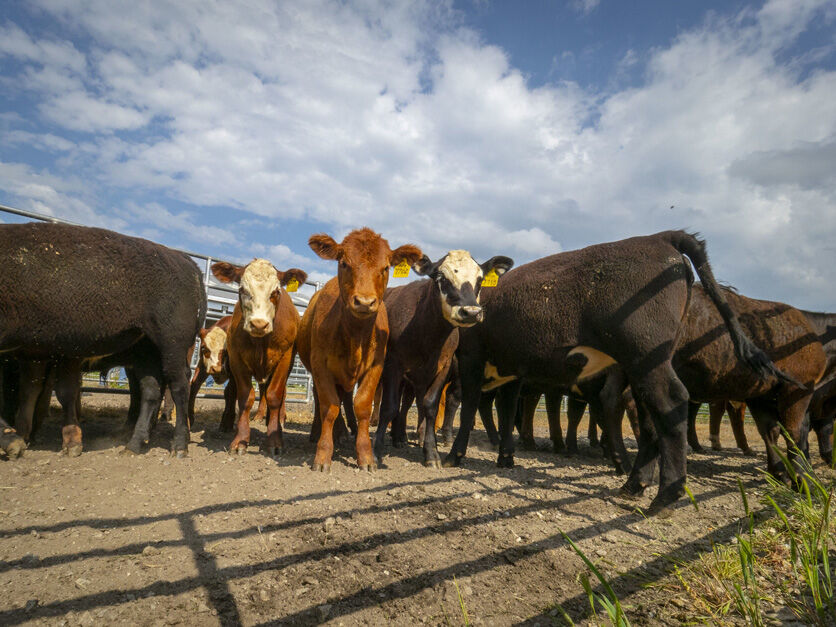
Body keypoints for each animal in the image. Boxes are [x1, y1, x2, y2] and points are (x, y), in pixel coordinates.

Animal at [0, 222, 205, 457]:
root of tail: (186, 261)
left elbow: (56, 392)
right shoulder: (48, 354)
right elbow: (42, 391)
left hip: (172, 345)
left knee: (179, 386)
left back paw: (179, 445)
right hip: (146, 350)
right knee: (150, 391)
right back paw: (134, 444)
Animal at [211, 259, 306, 457]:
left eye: (276, 292)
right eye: (242, 289)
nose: (259, 324)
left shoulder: (285, 358)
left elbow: (275, 396)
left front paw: (274, 440)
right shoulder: (237, 360)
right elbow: (245, 398)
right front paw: (240, 440)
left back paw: (277, 420)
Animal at [297, 227, 422, 471]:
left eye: (385, 267)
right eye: (344, 263)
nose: (364, 302)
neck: (355, 336)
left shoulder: (376, 366)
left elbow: (362, 405)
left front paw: (365, 455)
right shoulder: (320, 366)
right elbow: (329, 407)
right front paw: (323, 454)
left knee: (345, 397)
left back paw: (347, 432)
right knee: (322, 398)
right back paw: (323, 433)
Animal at [372, 250, 513, 467]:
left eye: (480, 279)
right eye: (441, 277)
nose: (471, 312)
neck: (426, 332)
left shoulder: (443, 368)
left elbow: (430, 405)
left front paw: (431, 452)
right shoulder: (393, 365)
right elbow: (389, 406)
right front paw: (376, 450)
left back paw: (401, 437)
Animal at [446, 231, 786, 515]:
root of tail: (660, 237)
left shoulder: (473, 357)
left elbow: (471, 405)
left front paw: (455, 454)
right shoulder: (513, 369)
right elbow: (505, 411)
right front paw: (505, 457)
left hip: (646, 355)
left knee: (671, 402)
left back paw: (665, 495)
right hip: (640, 365)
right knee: (649, 418)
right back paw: (635, 484)